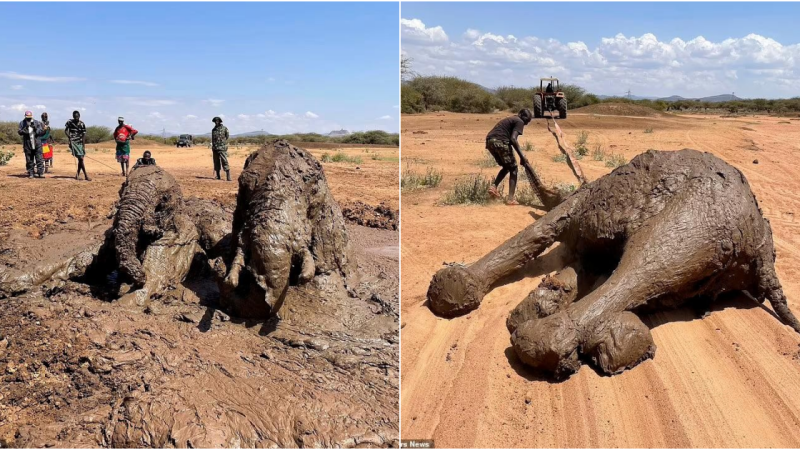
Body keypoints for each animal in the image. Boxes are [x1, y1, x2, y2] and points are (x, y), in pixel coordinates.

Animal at [428, 149, 796, 378]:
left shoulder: (578, 208)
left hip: (697, 221)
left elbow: (539, 231)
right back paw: (621, 340)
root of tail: (764, 250)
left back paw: (548, 340)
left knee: (645, 267)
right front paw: (542, 300)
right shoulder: (592, 247)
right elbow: (574, 272)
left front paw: (453, 288)